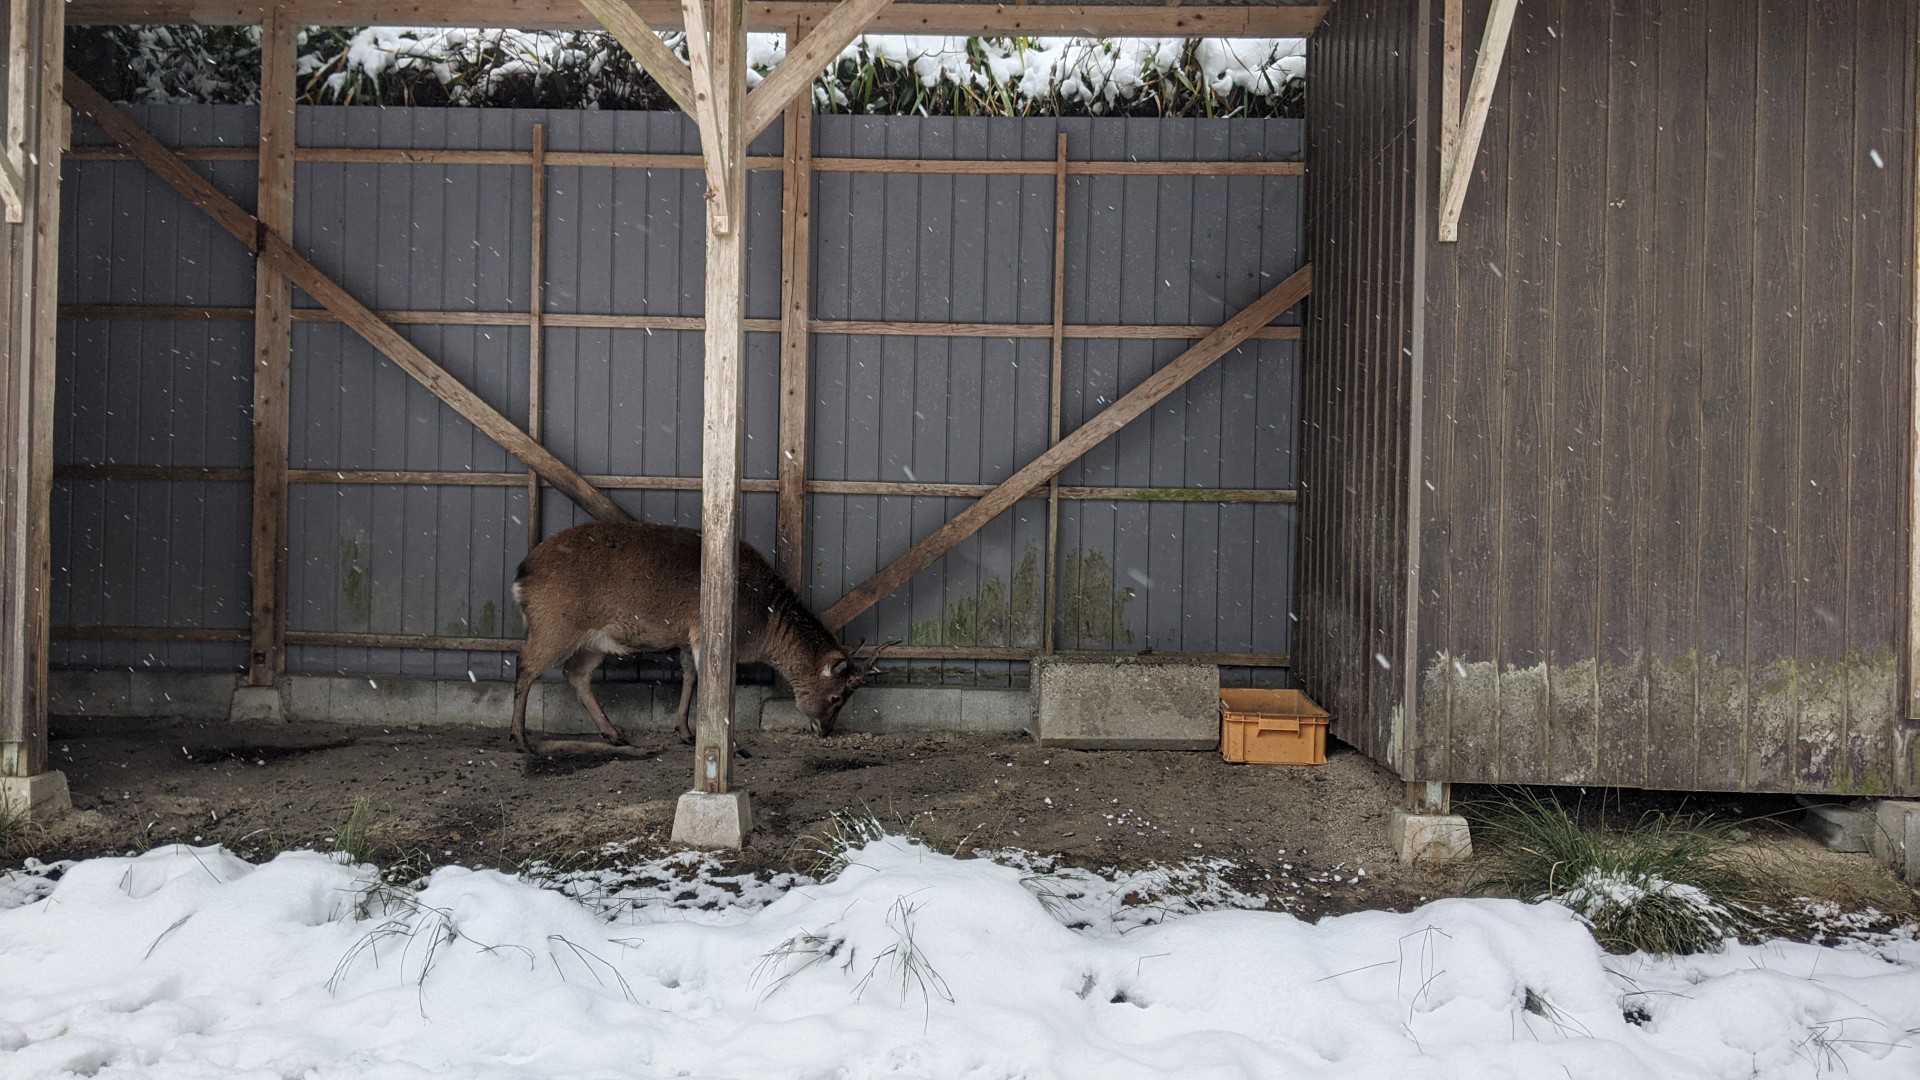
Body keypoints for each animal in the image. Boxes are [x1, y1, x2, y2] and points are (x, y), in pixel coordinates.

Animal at [508, 521, 886, 753]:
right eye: (837, 697)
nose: (826, 730)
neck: (762, 625)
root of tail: (521, 573)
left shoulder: (687, 637)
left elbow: (689, 675)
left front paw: (686, 732)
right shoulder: (706, 633)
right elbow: (712, 681)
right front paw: (728, 742)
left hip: (594, 640)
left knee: (576, 674)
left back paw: (614, 733)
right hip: (555, 624)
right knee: (526, 664)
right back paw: (520, 738)